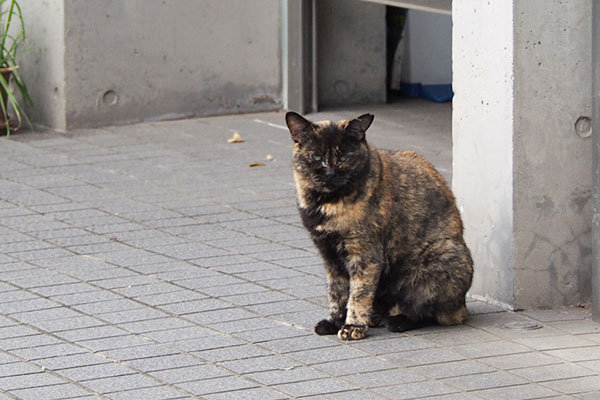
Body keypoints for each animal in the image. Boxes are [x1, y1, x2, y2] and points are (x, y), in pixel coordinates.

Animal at [286, 111, 474, 340]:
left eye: (344, 157)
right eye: (316, 157)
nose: (330, 174)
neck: (327, 205)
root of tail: (462, 307)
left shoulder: (365, 255)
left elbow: (358, 294)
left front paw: (353, 326)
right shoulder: (329, 256)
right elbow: (337, 292)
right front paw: (334, 321)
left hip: (441, 256)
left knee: (423, 310)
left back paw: (397, 321)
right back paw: (375, 318)